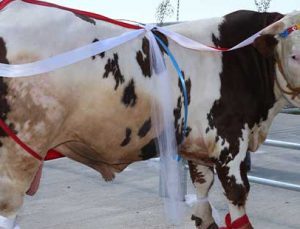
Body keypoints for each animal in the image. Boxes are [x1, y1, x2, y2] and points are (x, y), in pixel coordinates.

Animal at [0, 0, 300, 229]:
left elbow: (203, 196)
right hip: (20, 150)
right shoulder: (231, 140)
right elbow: (237, 197)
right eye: (295, 56)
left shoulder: (198, 146)